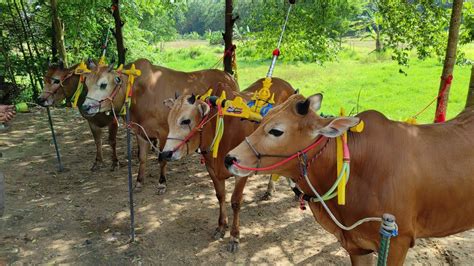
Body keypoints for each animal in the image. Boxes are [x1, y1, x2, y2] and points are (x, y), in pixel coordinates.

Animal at [80, 58, 241, 192]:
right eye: (86, 83)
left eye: (103, 84)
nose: (85, 107)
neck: (140, 92)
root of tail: (229, 76)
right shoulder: (140, 132)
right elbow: (142, 158)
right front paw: (139, 182)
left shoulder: (164, 133)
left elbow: (162, 159)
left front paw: (162, 183)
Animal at [163, 77, 296, 251]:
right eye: (169, 120)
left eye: (186, 120)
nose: (165, 153)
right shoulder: (212, 170)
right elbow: (220, 196)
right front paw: (221, 226)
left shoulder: (241, 171)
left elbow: (235, 201)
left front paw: (234, 236)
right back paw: (270, 190)